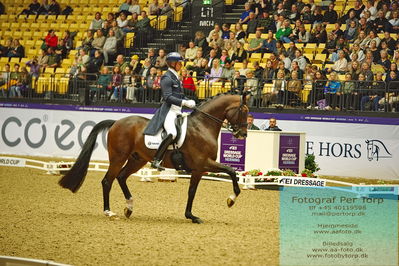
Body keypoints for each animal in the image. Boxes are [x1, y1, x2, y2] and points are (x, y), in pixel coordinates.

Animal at [58, 92, 250, 223]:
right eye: (244, 111)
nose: (243, 134)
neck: (202, 126)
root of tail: (116, 122)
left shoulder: (199, 169)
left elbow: (192, 191)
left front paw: (191, 216)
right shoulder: (203, 164)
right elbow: (231, 171)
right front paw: (231, 199)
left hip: (137, 159)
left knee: (121, 177)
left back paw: (129, 207)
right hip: (118, 157)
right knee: (107, 180)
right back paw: (109, 212)